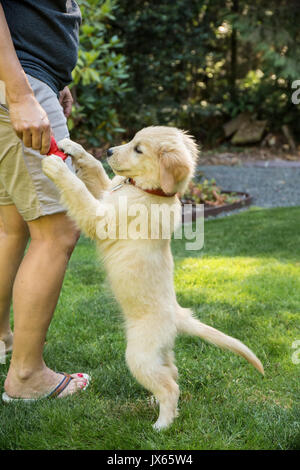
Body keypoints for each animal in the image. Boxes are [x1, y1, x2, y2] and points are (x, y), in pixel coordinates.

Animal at [41, 126, 262, 430]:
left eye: (138, 149)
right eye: (132, 140)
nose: (109, 150)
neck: (144, 189)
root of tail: (179, 315)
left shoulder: (100, 219)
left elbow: (79, 193)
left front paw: (57, 168)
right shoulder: (107, 192)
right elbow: (96, 171)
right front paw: (74, 148)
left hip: (139, 355)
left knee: (171, 387)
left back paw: (163, 424)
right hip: (161, 353)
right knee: (172, 374)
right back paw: (156, 404)